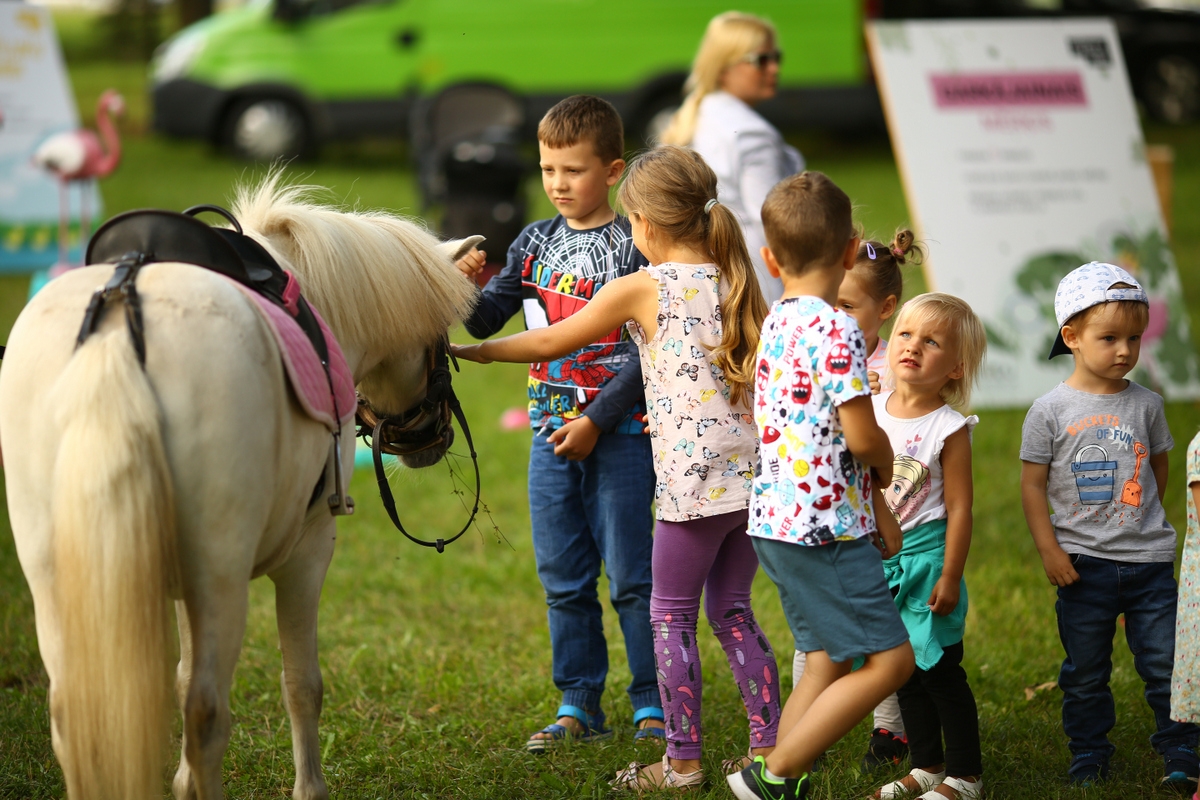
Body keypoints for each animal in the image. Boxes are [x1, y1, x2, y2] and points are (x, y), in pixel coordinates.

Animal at [0, 176, 477, 800]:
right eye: (440, 341)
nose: (429, 437)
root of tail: (120, 314)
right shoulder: (307, 553)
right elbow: (301, 684)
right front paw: (309, 786)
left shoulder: (176, 581)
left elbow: (180, 682)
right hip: (221, 577)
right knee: (208, 711)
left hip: (55, 576)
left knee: (76, 716)